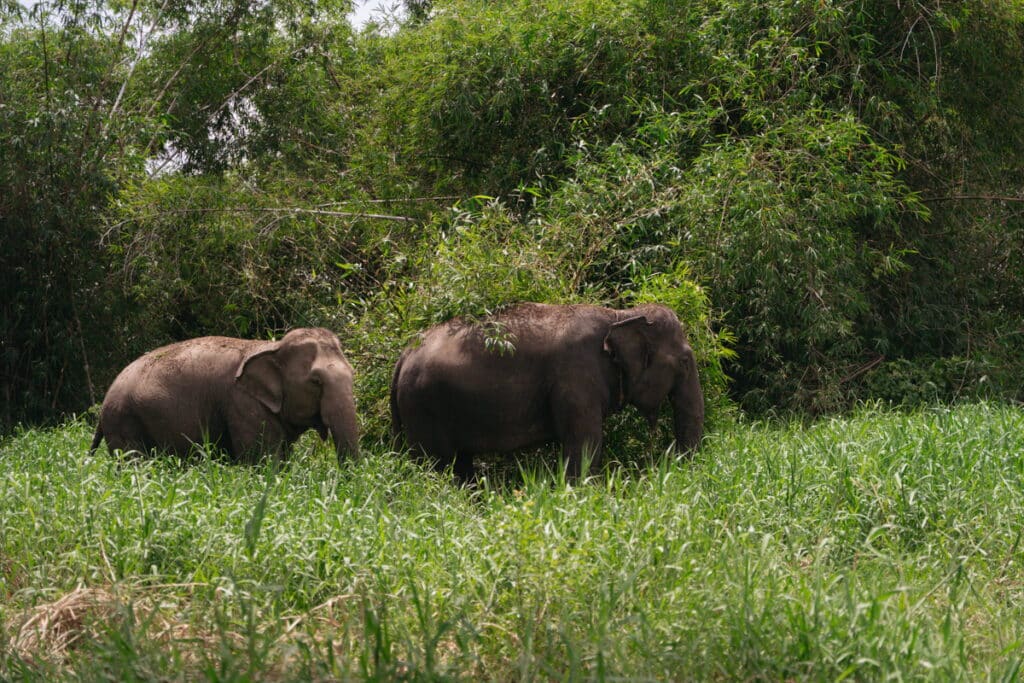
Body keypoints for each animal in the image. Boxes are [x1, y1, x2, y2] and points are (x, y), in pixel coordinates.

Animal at [90, 327, 359, 465]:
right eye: (316, 381)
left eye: (353, 374)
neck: (271, 347)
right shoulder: (243, 404)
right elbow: (263, 462)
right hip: (124, 421)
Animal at [390, 303, 704, 482]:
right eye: (685, 362)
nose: (666, 466)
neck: (620, 314)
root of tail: (404, 355)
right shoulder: (576, 379)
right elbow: (584, 445)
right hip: (424, 407)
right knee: (438, 466)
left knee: (461, 465)